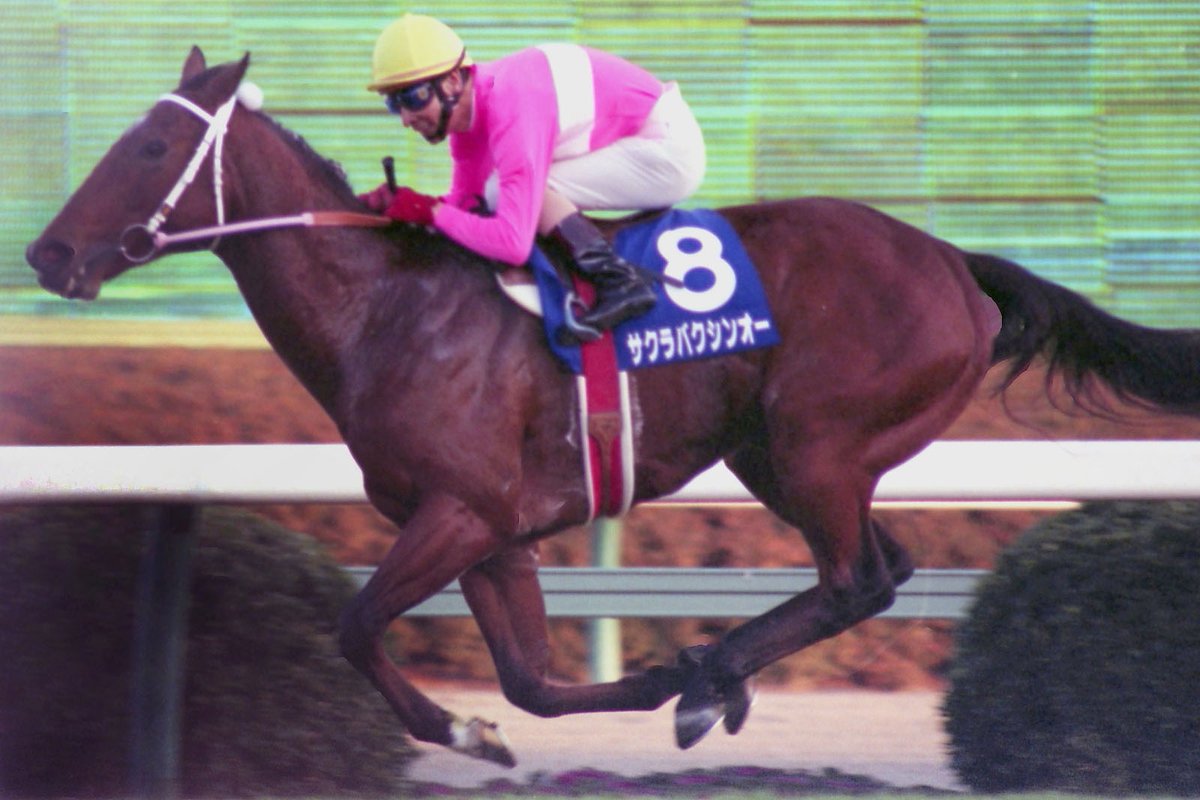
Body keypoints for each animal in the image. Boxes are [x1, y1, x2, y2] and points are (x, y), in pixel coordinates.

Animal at [27, 48, 1200, 767]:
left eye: (147, 148)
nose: (46, 254)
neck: (388, 307)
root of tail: (955, 261)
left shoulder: (459, 510)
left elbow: (358, 625)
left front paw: (476, 726)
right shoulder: (493, 531)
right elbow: (533, 683)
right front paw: (532, 717)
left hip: (816, 443)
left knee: (857, 578)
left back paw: (711, 674)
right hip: (784, 456)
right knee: (883, 568)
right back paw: (710, 676)